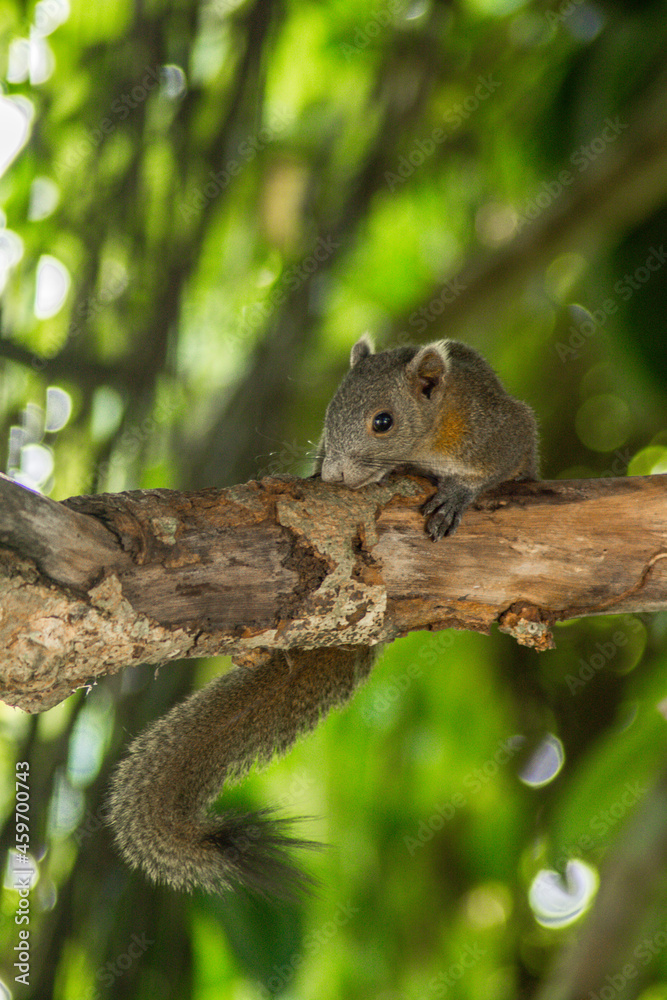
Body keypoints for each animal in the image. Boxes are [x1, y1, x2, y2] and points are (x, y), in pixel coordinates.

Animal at [108, 336, 536, 900]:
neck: (429, 434)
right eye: (331, 411)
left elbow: (501, 459)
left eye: (383, 422)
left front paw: (457, 496)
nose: (332, 476)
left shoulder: (496, 429)